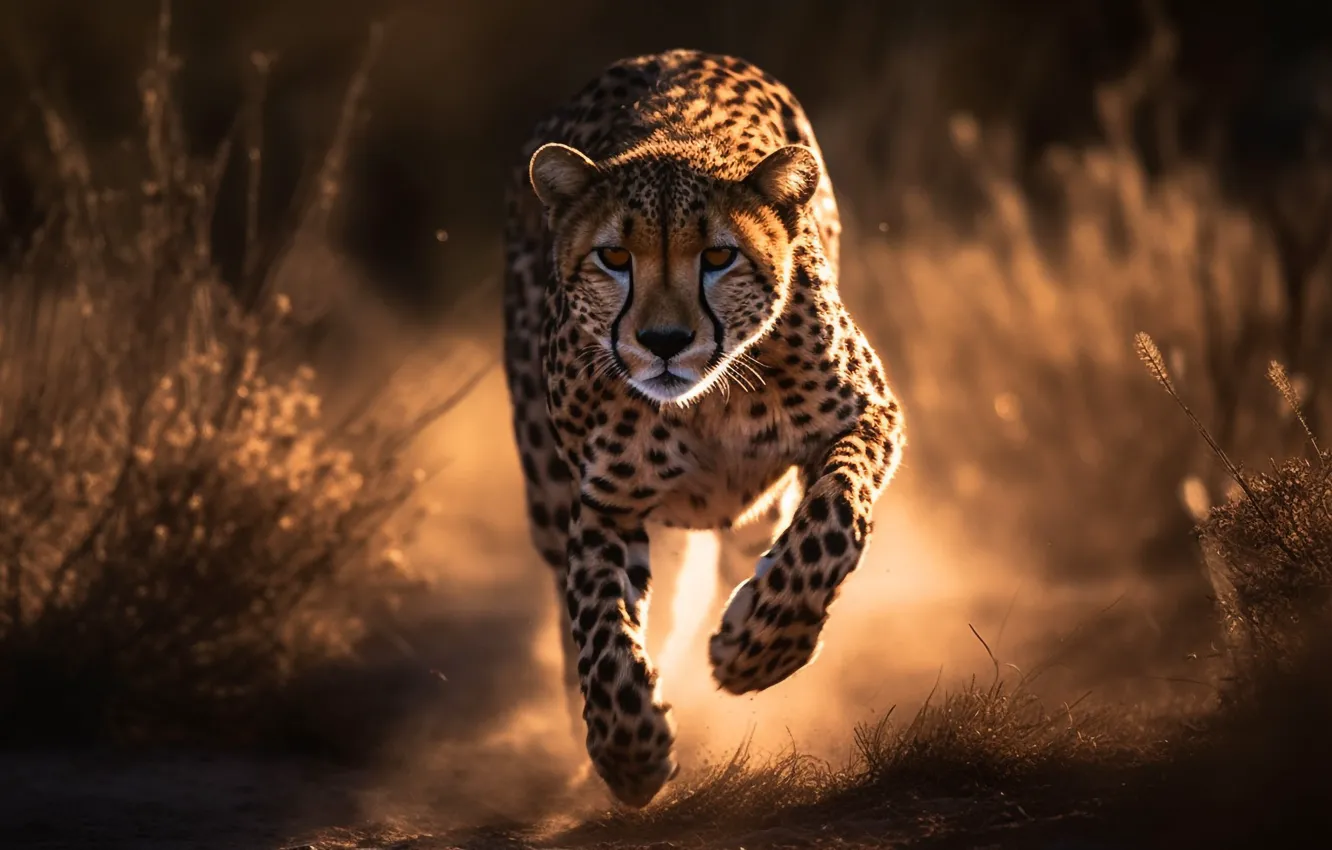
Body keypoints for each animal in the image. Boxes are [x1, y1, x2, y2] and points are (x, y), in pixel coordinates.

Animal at [501, 49, 904, 809]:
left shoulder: (869, 416)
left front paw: (758, 648)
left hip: (756, 508)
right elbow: (596, 617)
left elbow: (834, 520)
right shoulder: (603, 501)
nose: (663, 341)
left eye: (718, 257)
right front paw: (628, 748)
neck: (706, 403)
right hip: (543, 490)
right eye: (614, 258)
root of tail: (662, 53)